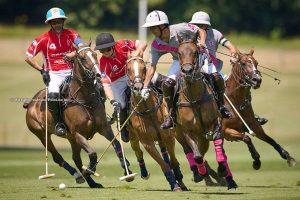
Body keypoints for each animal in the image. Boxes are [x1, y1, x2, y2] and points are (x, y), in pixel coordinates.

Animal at [25, 43, 133, 188]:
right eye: (82, 58)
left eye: (94, 54)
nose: (98, 74)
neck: (85, 99)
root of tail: (30, 103)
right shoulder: (78, 133)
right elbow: (92, 153)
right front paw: (90, 169)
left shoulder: (104, 128)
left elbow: (116, 145)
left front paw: (126, 169)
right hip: (42, 134)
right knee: (57, 156)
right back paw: (78, 175)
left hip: (70, 138)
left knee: (76, 158)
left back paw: (92, 182)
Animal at [124, 57, 188, 191]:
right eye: (128, 69)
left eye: (144, 68)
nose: (138, 88)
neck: (148, 110)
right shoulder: (147, 142)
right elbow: (163, 165)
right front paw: (174, 184)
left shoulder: (168, 136)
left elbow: (173, 161)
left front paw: (180, 181)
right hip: (133, 136)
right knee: (137, 151)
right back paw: (144, 173)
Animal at [177, 35, 238, 190]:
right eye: (179, 53)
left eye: (195, 52)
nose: (187, 71)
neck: (195, 97)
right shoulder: (187, 131)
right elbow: (197, 156)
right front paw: (202, 172)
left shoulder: (215, 123)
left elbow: (218, 145)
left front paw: (221, 170)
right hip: (188, 136)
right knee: (195, 153)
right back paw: (203, 174)